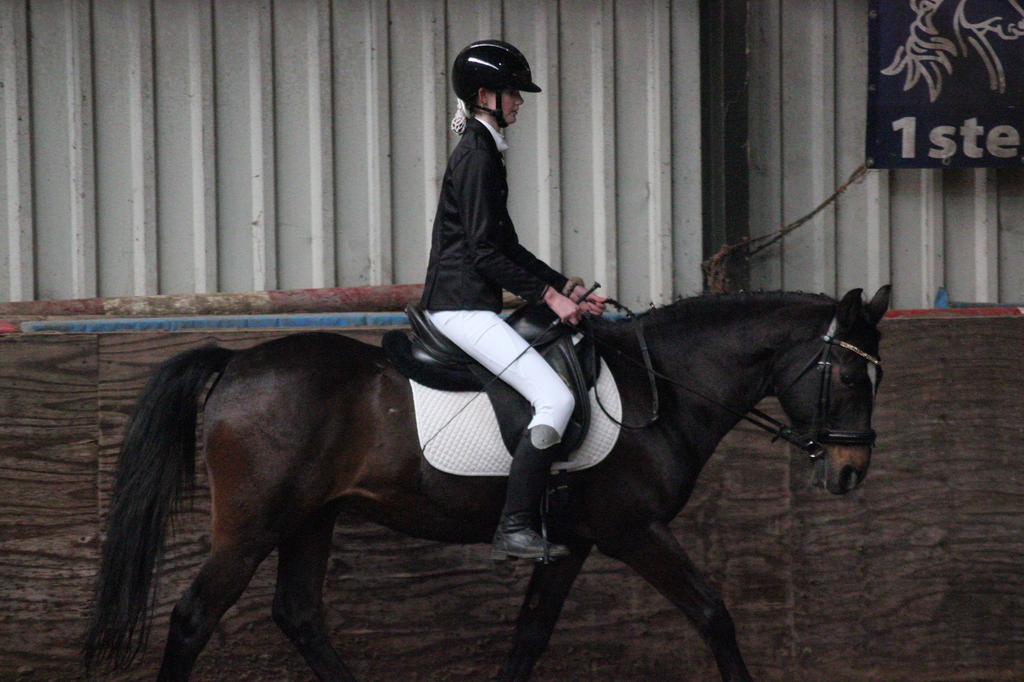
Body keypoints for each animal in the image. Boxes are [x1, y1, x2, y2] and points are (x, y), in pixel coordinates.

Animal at [83, 285, 890, 681]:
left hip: (313, 518)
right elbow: (714, 615)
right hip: (252, 526)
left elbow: (529, 636)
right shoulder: (633, 531)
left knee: (300, 615)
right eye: (852, 377)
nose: (850, 473)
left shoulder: (572, 542)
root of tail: (237, 363)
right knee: (194, 619)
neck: (660, 384)